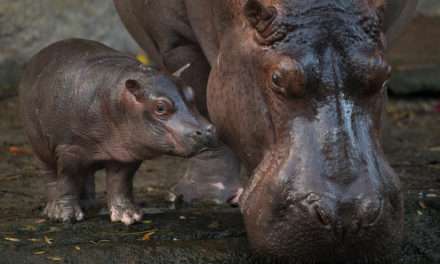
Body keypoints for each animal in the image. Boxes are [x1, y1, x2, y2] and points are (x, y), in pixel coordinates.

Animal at [19, 38, 217, 225]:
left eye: (192, 93)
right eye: (160, 107)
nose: (207, 131)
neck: (117, 99)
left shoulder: (125, 154)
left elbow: (120, 182)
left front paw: (129, 216)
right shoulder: (69, 149)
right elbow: (67, 179)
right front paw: (66, 217)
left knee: (86, 174)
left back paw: (88, 204)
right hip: (40, 146)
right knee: (52, 176)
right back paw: (52, 210)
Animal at [115, 0, 418, 262]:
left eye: (384, 75)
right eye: (277, 78)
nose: (346, 218)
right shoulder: (176, 38)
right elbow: (198, 96)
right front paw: (202, 196)